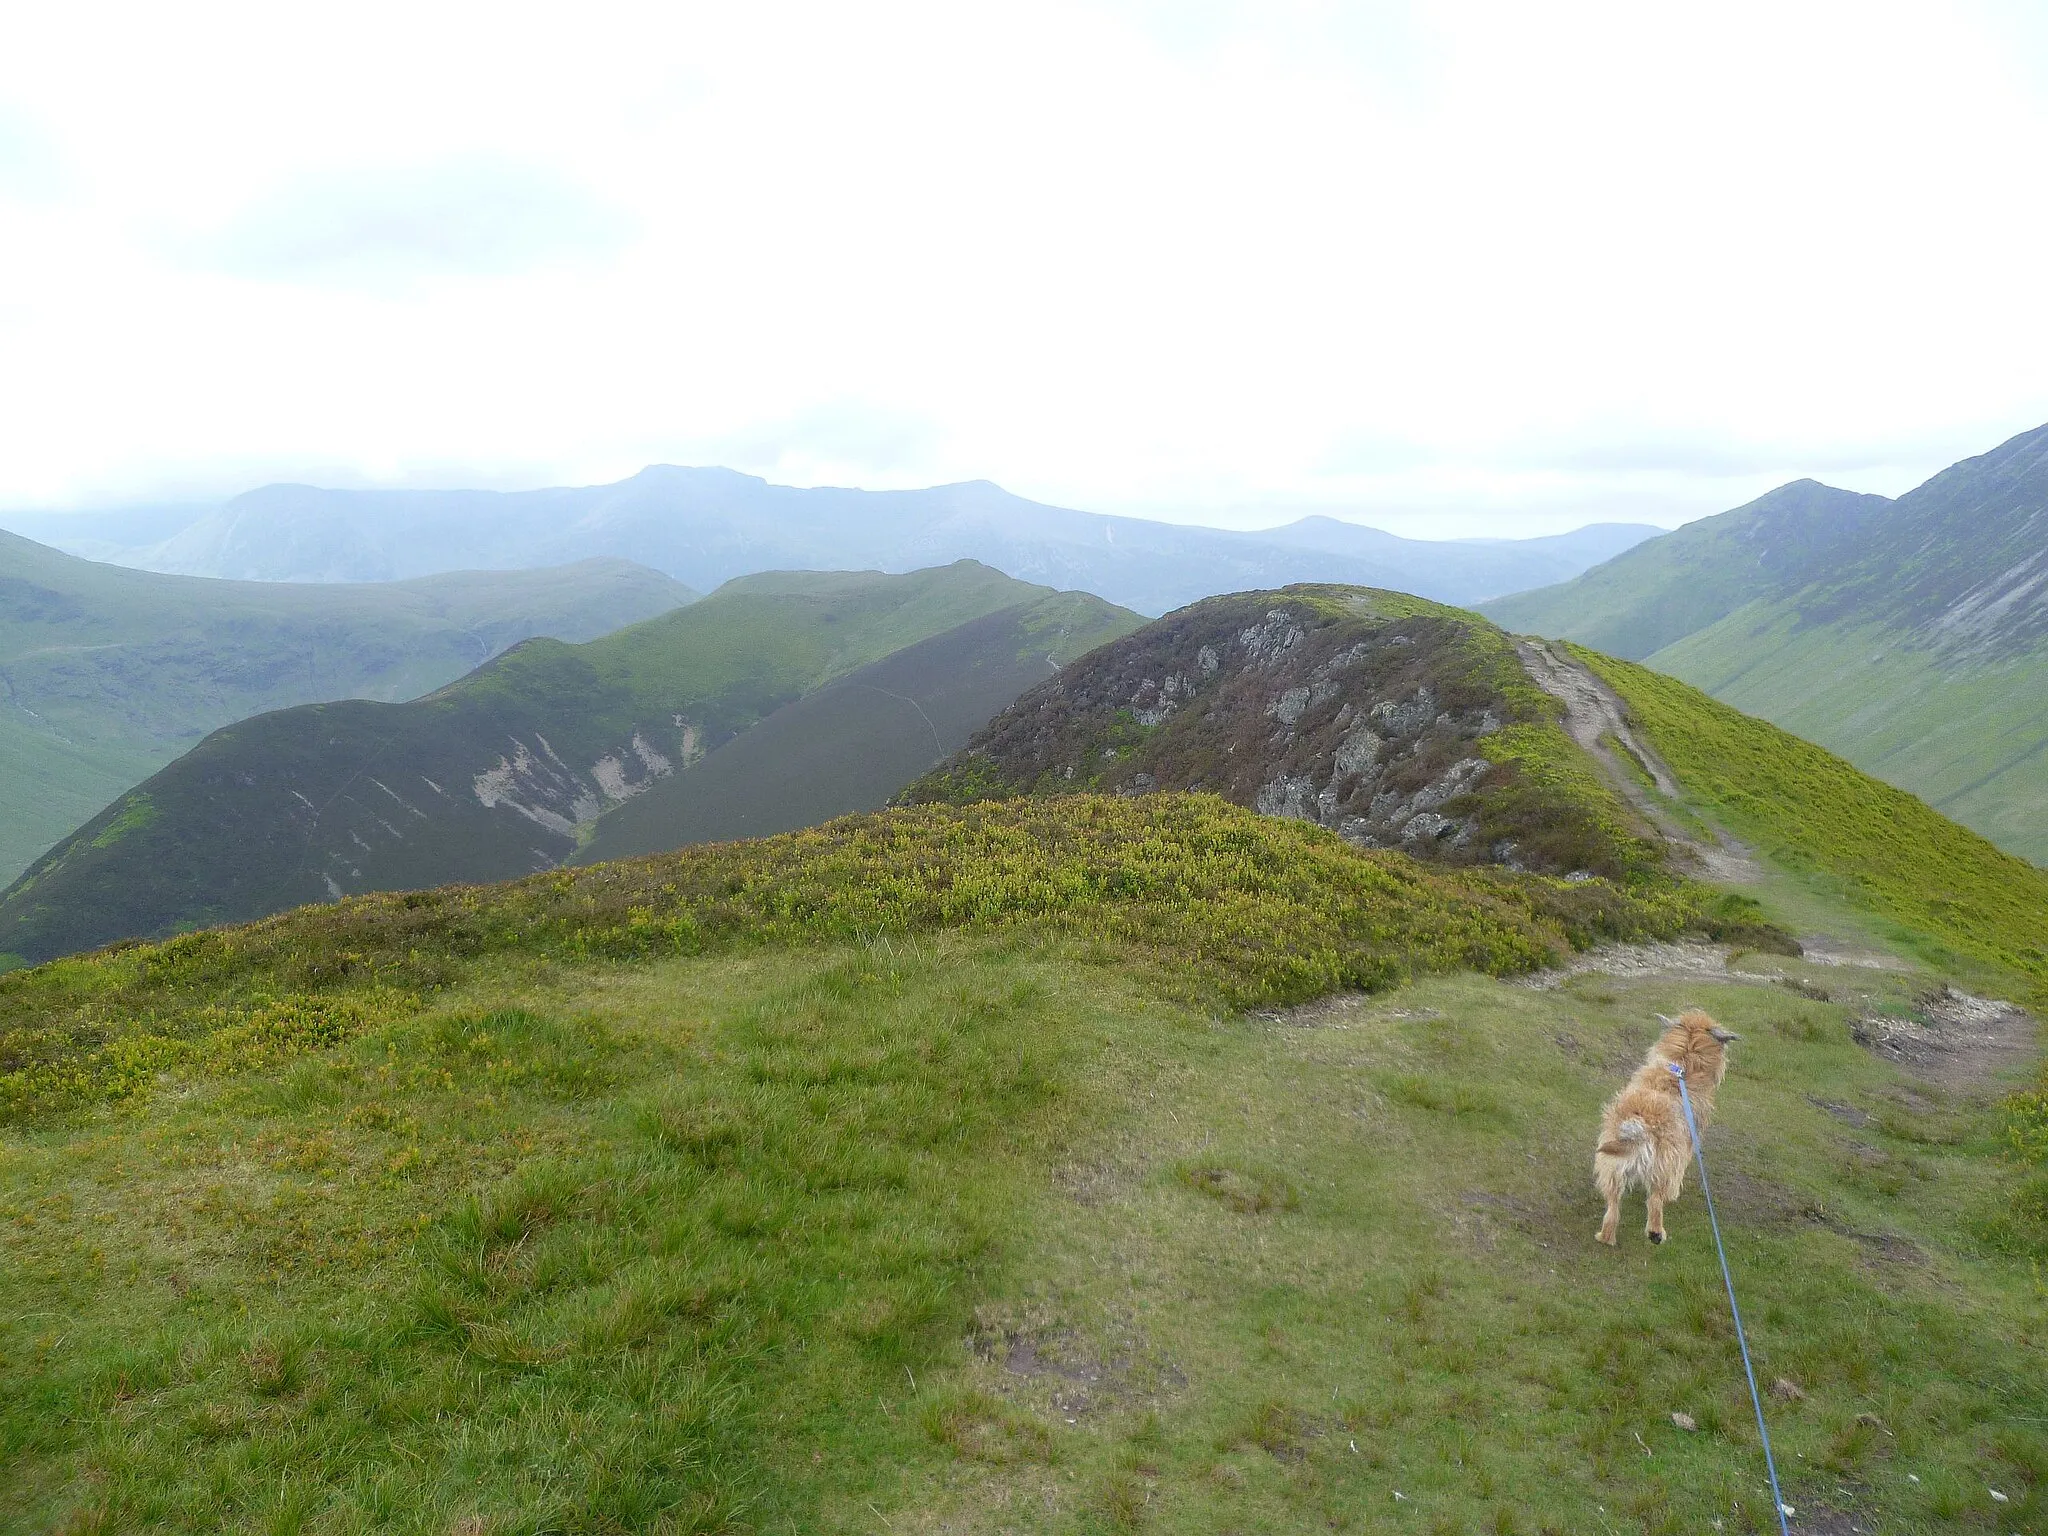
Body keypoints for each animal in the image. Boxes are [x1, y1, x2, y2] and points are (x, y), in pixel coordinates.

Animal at [1589, 1011, 1736, 1253]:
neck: (1682, 1065)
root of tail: (1641, 1124)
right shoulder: (1684, 1150)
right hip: (1664, 1167)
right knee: (1655, 1201)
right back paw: (1656, 1232)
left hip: (1612, 1166)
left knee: (1613, 1208)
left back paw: (1605, 1237)